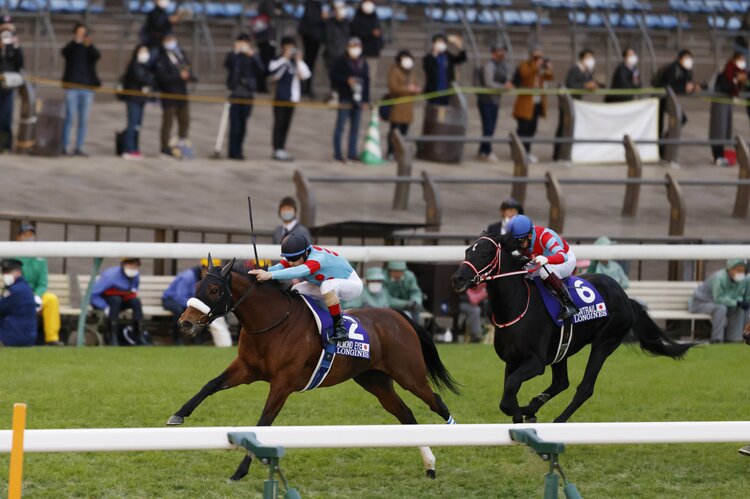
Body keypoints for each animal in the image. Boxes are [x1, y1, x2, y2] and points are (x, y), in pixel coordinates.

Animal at [169, 258, 460, 481]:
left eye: (214, 290)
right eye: (197, 286)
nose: (185, 323)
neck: (273, 323)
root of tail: (397, 315)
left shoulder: (283, 383)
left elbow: (263, 422)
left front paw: (240, 471)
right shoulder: (246, 369)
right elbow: (210, 385)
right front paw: (178, 415)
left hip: (410, 375)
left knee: (437, 402)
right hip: (375, 381)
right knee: (407, 415)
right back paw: (430, 465)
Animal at [451, 233, 695, 424]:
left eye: (485, 253)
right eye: (467, 251)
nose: (457, 279)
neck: (517, 306)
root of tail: (626, 298)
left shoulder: (535, 362)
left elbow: (509, 394)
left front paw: (521, 414)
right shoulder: (512, 361)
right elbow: (507, 397)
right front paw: (523, 412)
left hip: (604, 343)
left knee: (584, 388)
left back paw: (557, 420)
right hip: (562, 348)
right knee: (561, 382)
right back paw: (534, 406)